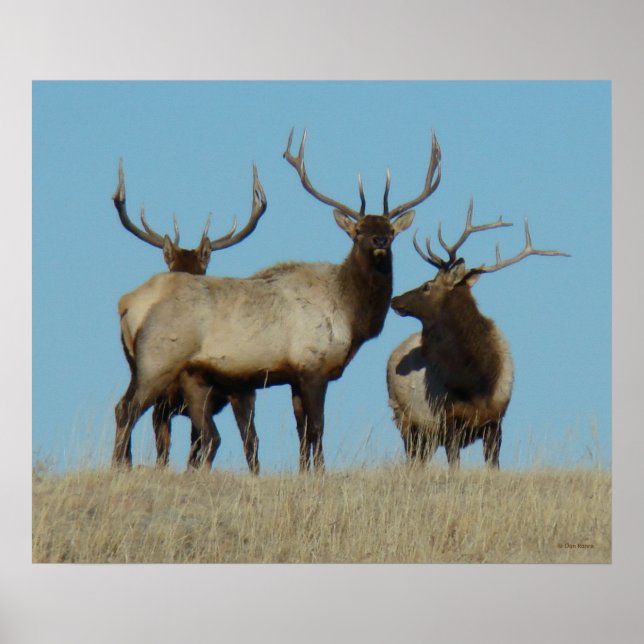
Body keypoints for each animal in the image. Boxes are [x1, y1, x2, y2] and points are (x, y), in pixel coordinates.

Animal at [386, 198, 569, 469]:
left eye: (427, 286)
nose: (395, 299)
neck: (476, 381)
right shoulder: (449, 419)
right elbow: (454, 466)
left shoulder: (495, 420)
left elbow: (493, 467)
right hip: (405, 418)